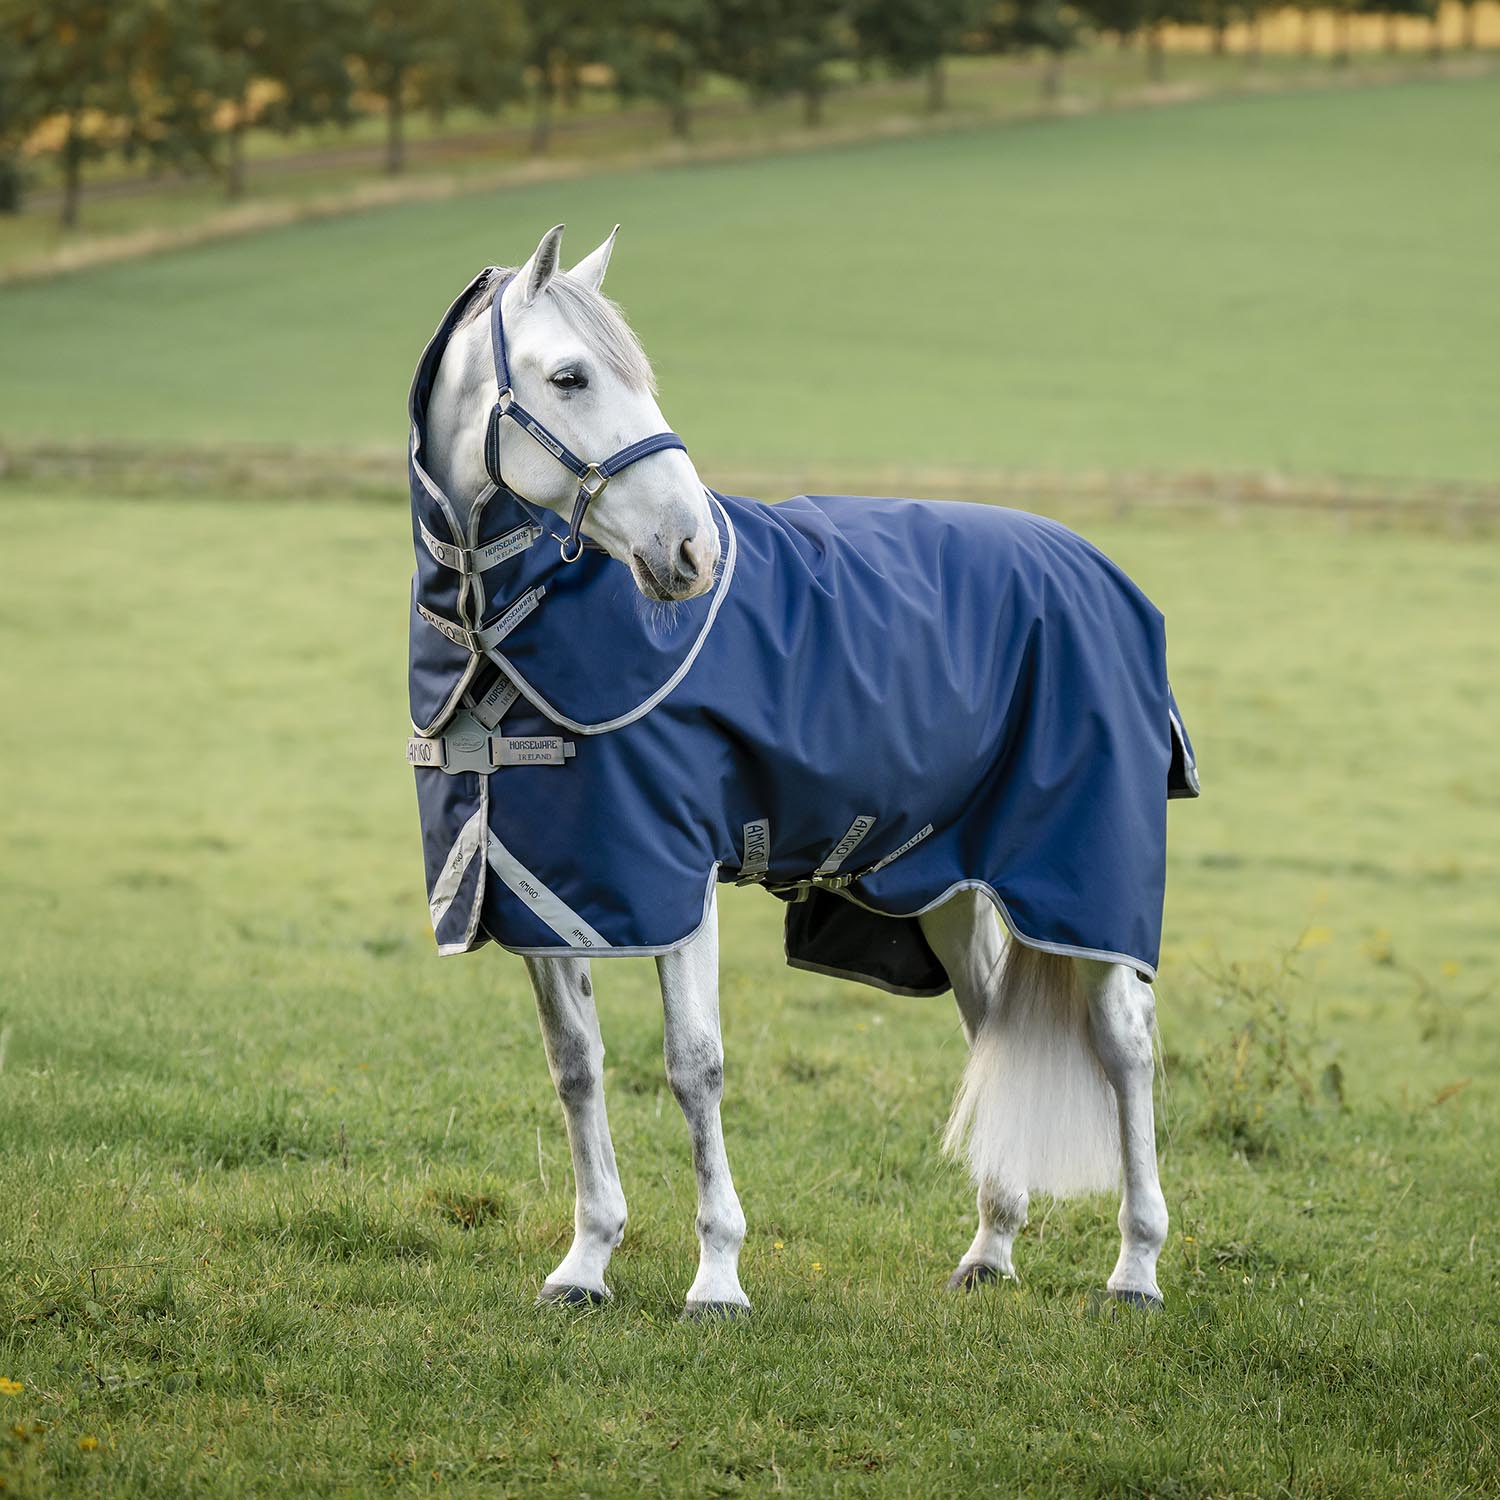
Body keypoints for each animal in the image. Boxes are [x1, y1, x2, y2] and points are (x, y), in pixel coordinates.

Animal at [406, 223, 1198, 1319]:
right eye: (568, 377)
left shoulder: (677, 878)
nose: (690, 552)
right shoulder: (545, 892)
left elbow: (694, 1066)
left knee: (1125, 1046)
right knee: (993, 1031)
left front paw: (718, 1276)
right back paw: (991, 1247)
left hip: (1081, 883)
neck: (507, 640)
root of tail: (1095, 569)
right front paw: (586, 1262)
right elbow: (576, 1068)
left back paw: (1136, 1267)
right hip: (950, 887)